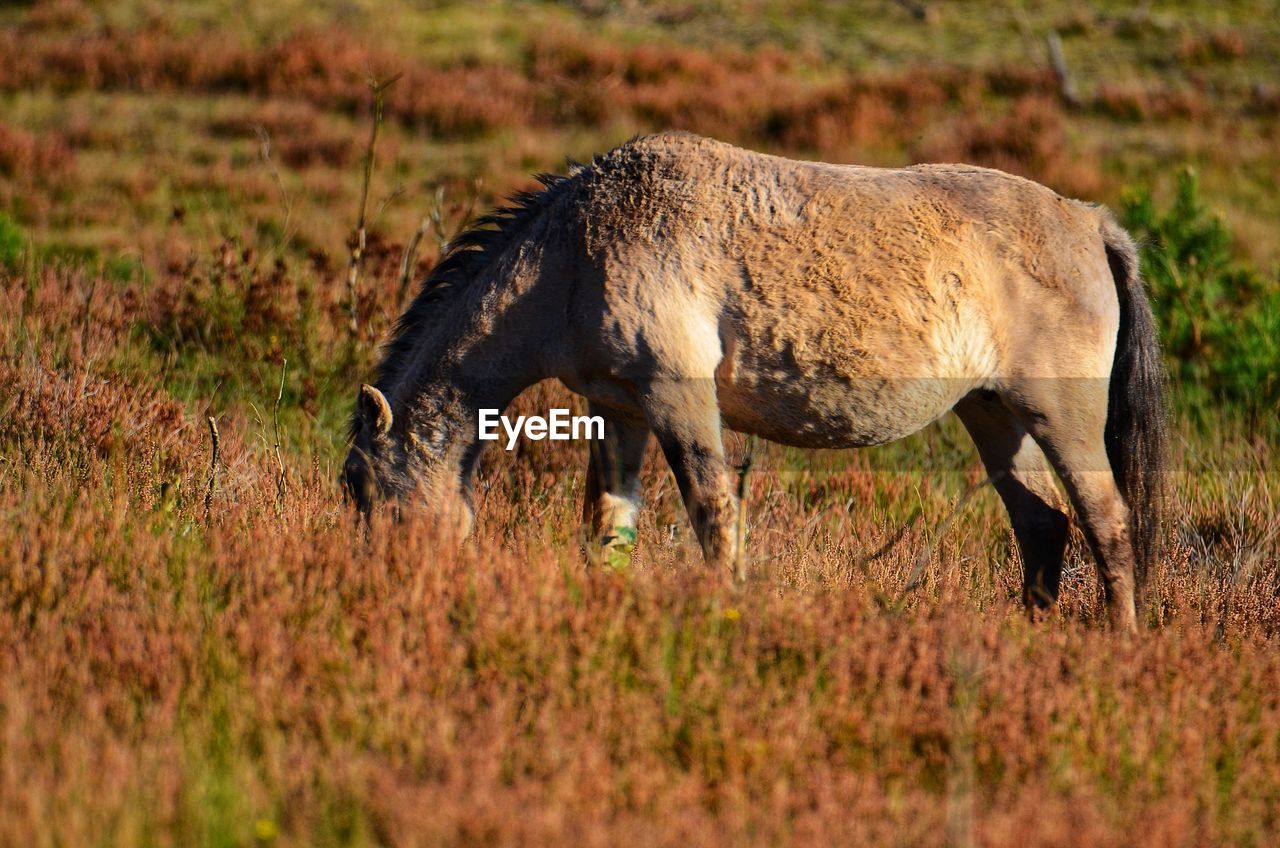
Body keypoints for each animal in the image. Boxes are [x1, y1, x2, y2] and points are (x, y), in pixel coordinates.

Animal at [343, 133, 1172, 635]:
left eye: (369, 494)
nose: (382, 592)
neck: (573, 253)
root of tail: (1089, 223)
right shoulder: (617, 410)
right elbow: (606, 523)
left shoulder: (678, 400)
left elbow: (713, 513)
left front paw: (725, 614)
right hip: (994, 414)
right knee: (1043, 525)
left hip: (1059, 416)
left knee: (1108, 523)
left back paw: (1118, 643)